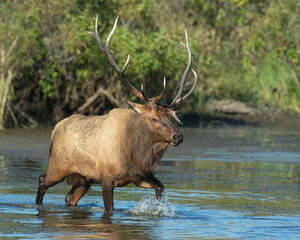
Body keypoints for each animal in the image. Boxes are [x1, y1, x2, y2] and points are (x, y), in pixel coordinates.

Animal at [35, 15, 197, 211]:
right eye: (155, 118)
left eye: (172, 117)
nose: (178, 137)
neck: (134, 152)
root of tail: (55, 129)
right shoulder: (106, 178)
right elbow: (110, 209)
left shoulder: (139, 175)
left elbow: (160, 187)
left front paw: (158, 208)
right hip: (58, 166)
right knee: (42, 180)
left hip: (84, 178)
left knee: (69, 198)